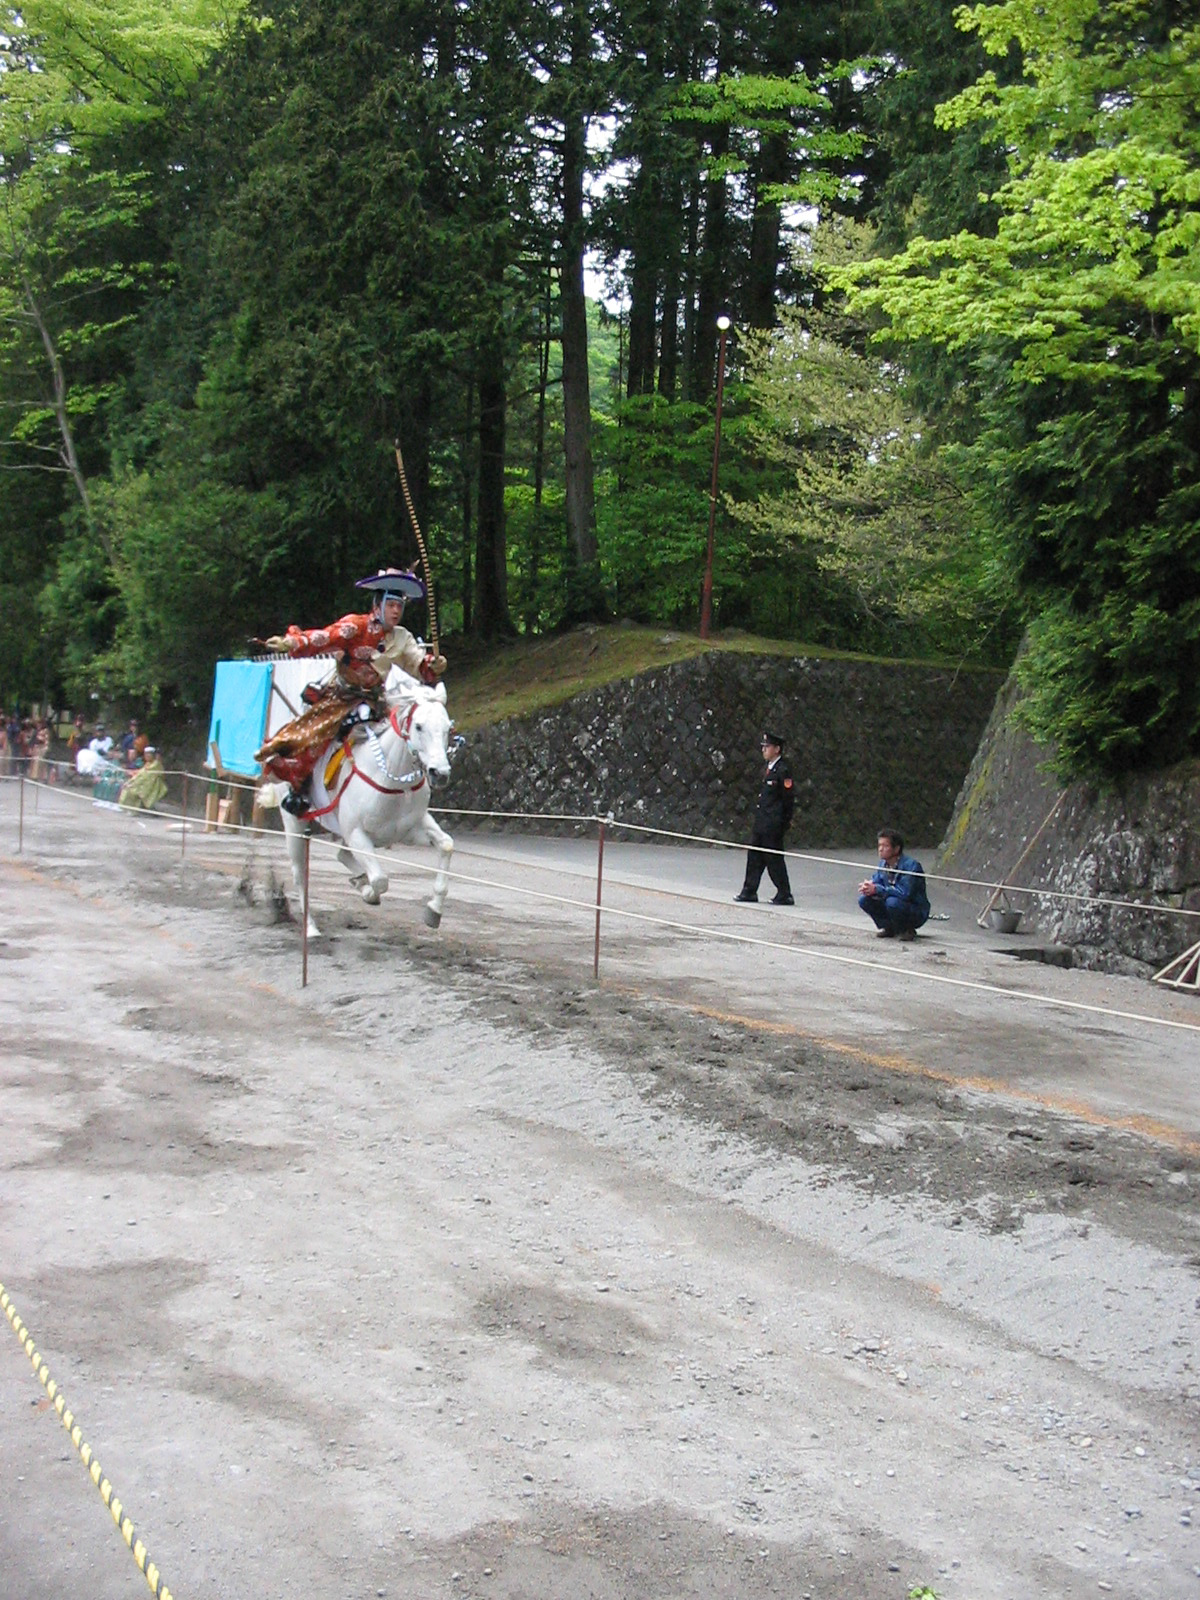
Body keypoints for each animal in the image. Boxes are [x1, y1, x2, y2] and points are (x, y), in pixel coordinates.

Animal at [264, 665, 460, 934]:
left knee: (341, 856)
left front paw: (434, 910)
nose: (440, 773)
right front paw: (368, 891)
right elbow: (380, 880)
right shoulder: (356, 833)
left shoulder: (408, 830)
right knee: (299, 873)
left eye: (447, 729)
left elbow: (446, 845)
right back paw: (311, 928)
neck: (393, 780)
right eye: (419, 726)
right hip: (295, 823)